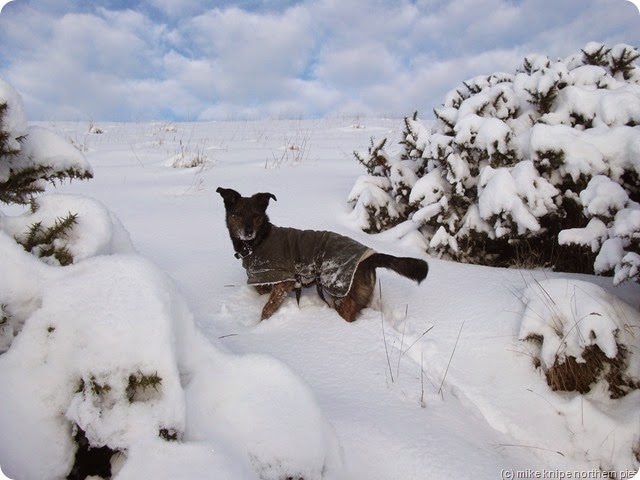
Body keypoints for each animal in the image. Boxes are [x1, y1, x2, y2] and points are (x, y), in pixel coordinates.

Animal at [218, 188, 428, 322]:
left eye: (256, 215)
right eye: (237, 214)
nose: (248, 232)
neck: (259, 241)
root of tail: (369, 257)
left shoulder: (283, 281)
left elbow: (267, 307)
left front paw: (260, 324)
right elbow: (260, 290)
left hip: (341, 293)